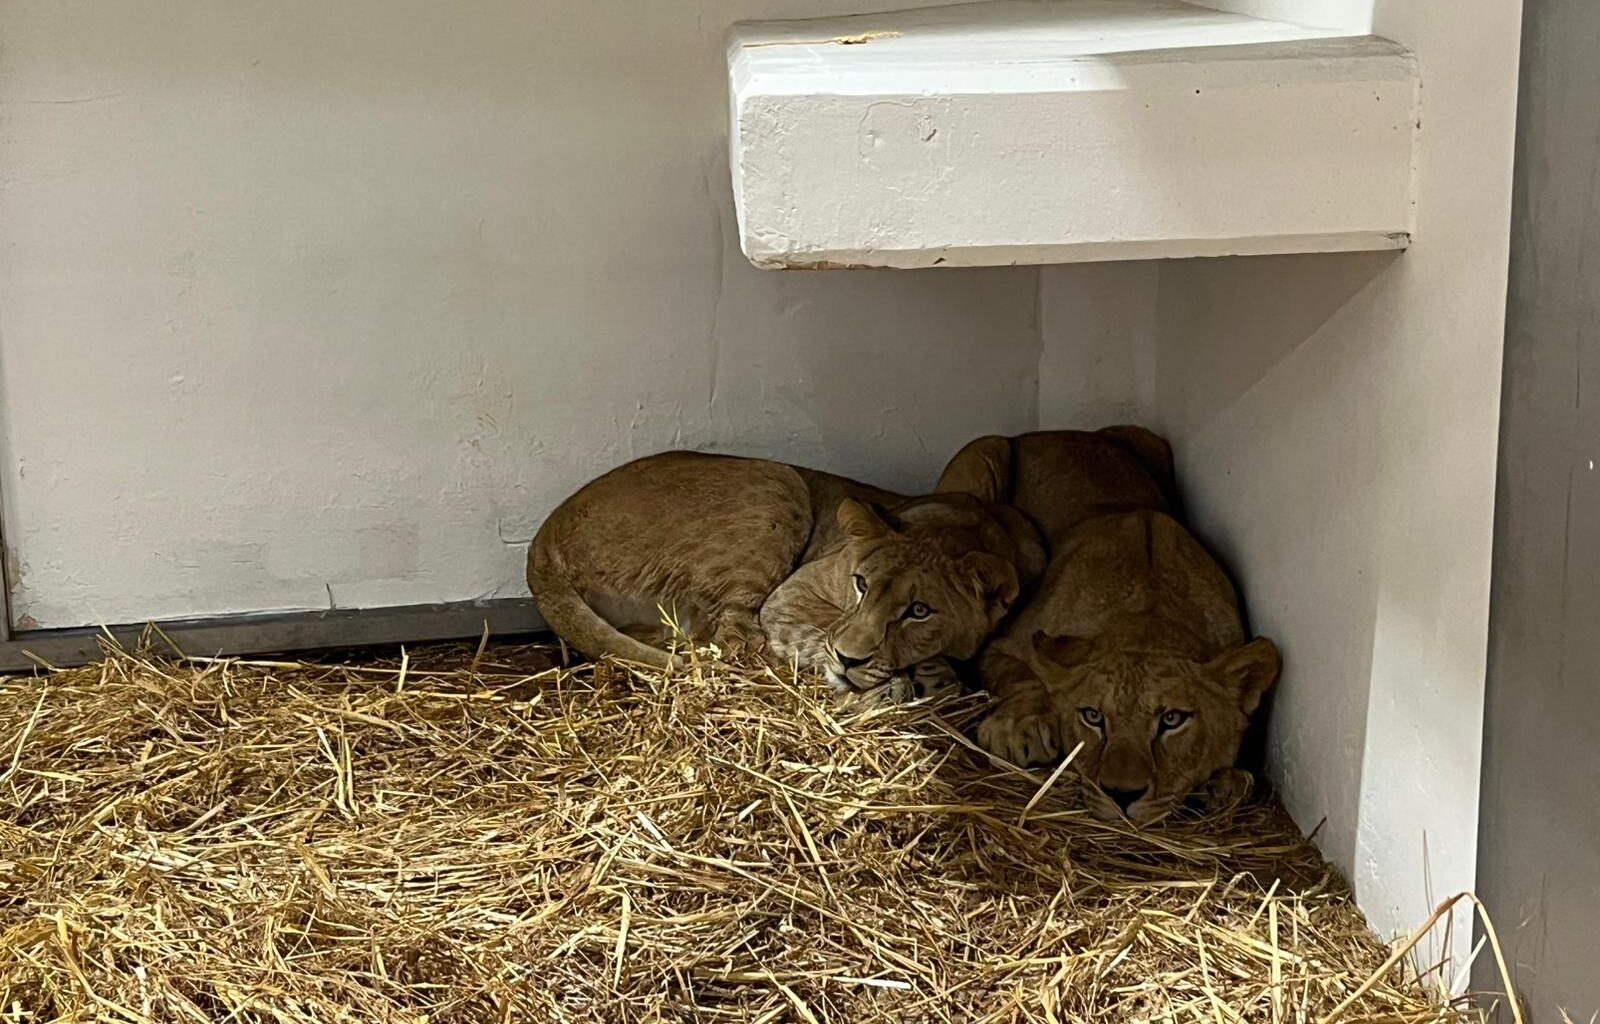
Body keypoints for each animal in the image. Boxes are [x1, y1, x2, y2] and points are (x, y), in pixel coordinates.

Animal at [528, 450, 1045, 697]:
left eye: (920, 611)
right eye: (860, 584)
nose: (850, 660)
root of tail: (543, 536)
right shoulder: (794, 593)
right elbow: (814, 633)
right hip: (779, 479)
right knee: (737, 644)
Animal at [939, 429, 1281, 823]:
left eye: (1173, 719)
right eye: (1093, 716)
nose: (1121, 794)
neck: (1149, 620)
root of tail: (1054, 430)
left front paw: (1225, 784)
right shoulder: (1003, 643)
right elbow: (1022, 675)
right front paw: (1018, 729)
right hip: (987, 449)